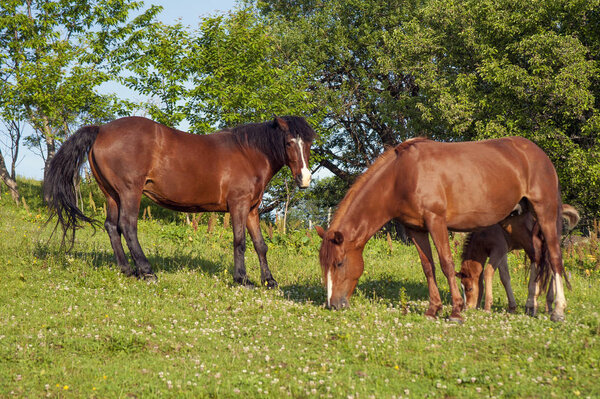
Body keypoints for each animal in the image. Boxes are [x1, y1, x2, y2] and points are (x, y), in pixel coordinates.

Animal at [44, 115, 316, 284]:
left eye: (309, 143)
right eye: (289, 142)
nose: (304, 178)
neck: (248, 153)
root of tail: (101, 129)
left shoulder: (252, 209)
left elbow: (260, 244)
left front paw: (269, 280)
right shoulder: (238, 206)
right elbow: (240, 242)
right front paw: (242, 279)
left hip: (112, 195)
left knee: (112, 227)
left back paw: (127, 270)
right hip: (129, 192)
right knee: (127, 226)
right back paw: (147, 272)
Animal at [314, 137, 568, 322]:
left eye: (339, 263)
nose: (333, 305)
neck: (401, 175)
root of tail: (538, 153)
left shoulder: (436, 222)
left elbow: (446, 264)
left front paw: (456, 312)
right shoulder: (416, 229)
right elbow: (428, 267)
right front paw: (433, 309)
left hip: (544, 211)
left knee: (554, 256)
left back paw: (558, 310)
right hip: (517, 221)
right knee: (538, 256)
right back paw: (533, 305)